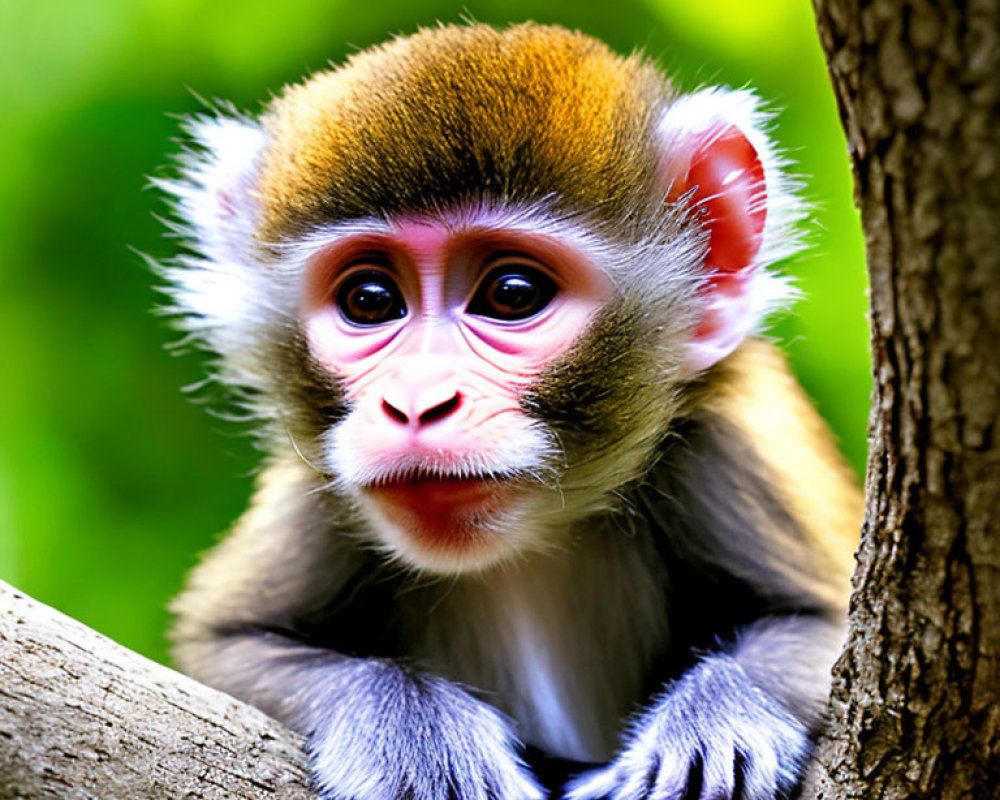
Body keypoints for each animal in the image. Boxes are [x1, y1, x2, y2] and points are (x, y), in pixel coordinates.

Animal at [162, 21, 860, 800]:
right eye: (369, 301)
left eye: (512, 294)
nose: (416, 403)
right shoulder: (318, 491)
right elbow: (222, 646)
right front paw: (412, 725)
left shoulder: (728, 440)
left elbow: (826, 624)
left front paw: (717, 716)